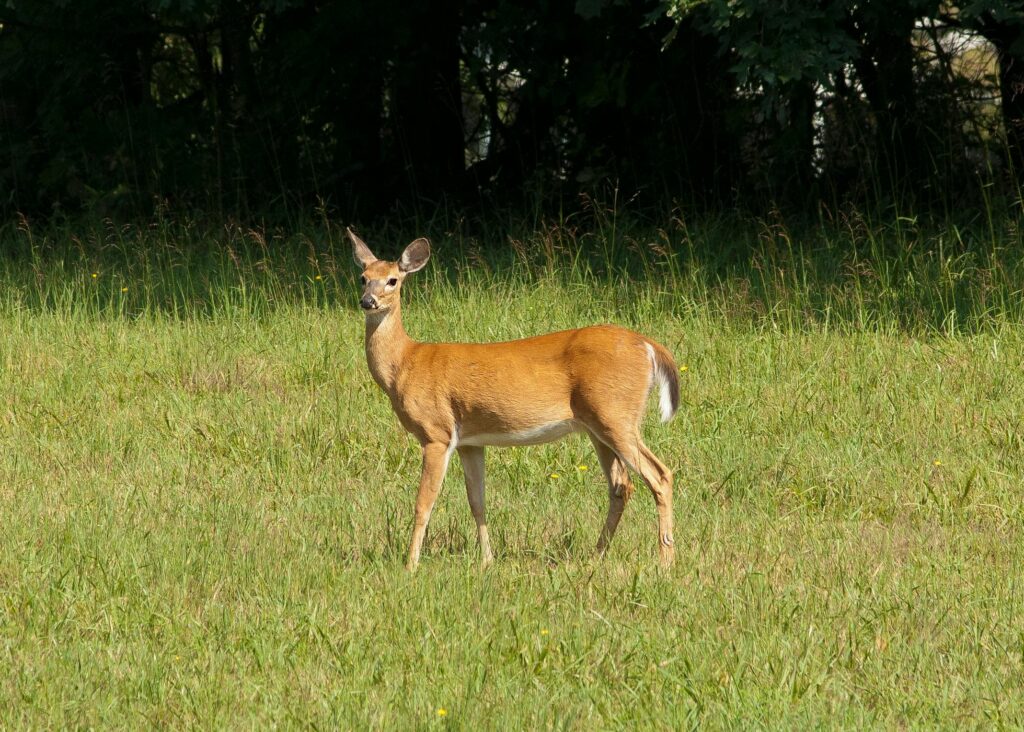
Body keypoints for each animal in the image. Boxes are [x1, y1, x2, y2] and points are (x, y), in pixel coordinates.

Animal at [352, 226, 679, 569]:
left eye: (392, 280)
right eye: (363, 277)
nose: (368, 301)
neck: (405, 363)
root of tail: (649, 346)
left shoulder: (436, 432)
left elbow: (423, 503)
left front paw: (410, 565)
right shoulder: (470, 441)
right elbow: (477, 502)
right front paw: (487, 561)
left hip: (616, 414)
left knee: (660, 475)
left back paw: (665, 561)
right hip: (597, 425)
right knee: (621, 485)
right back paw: (597, 554)